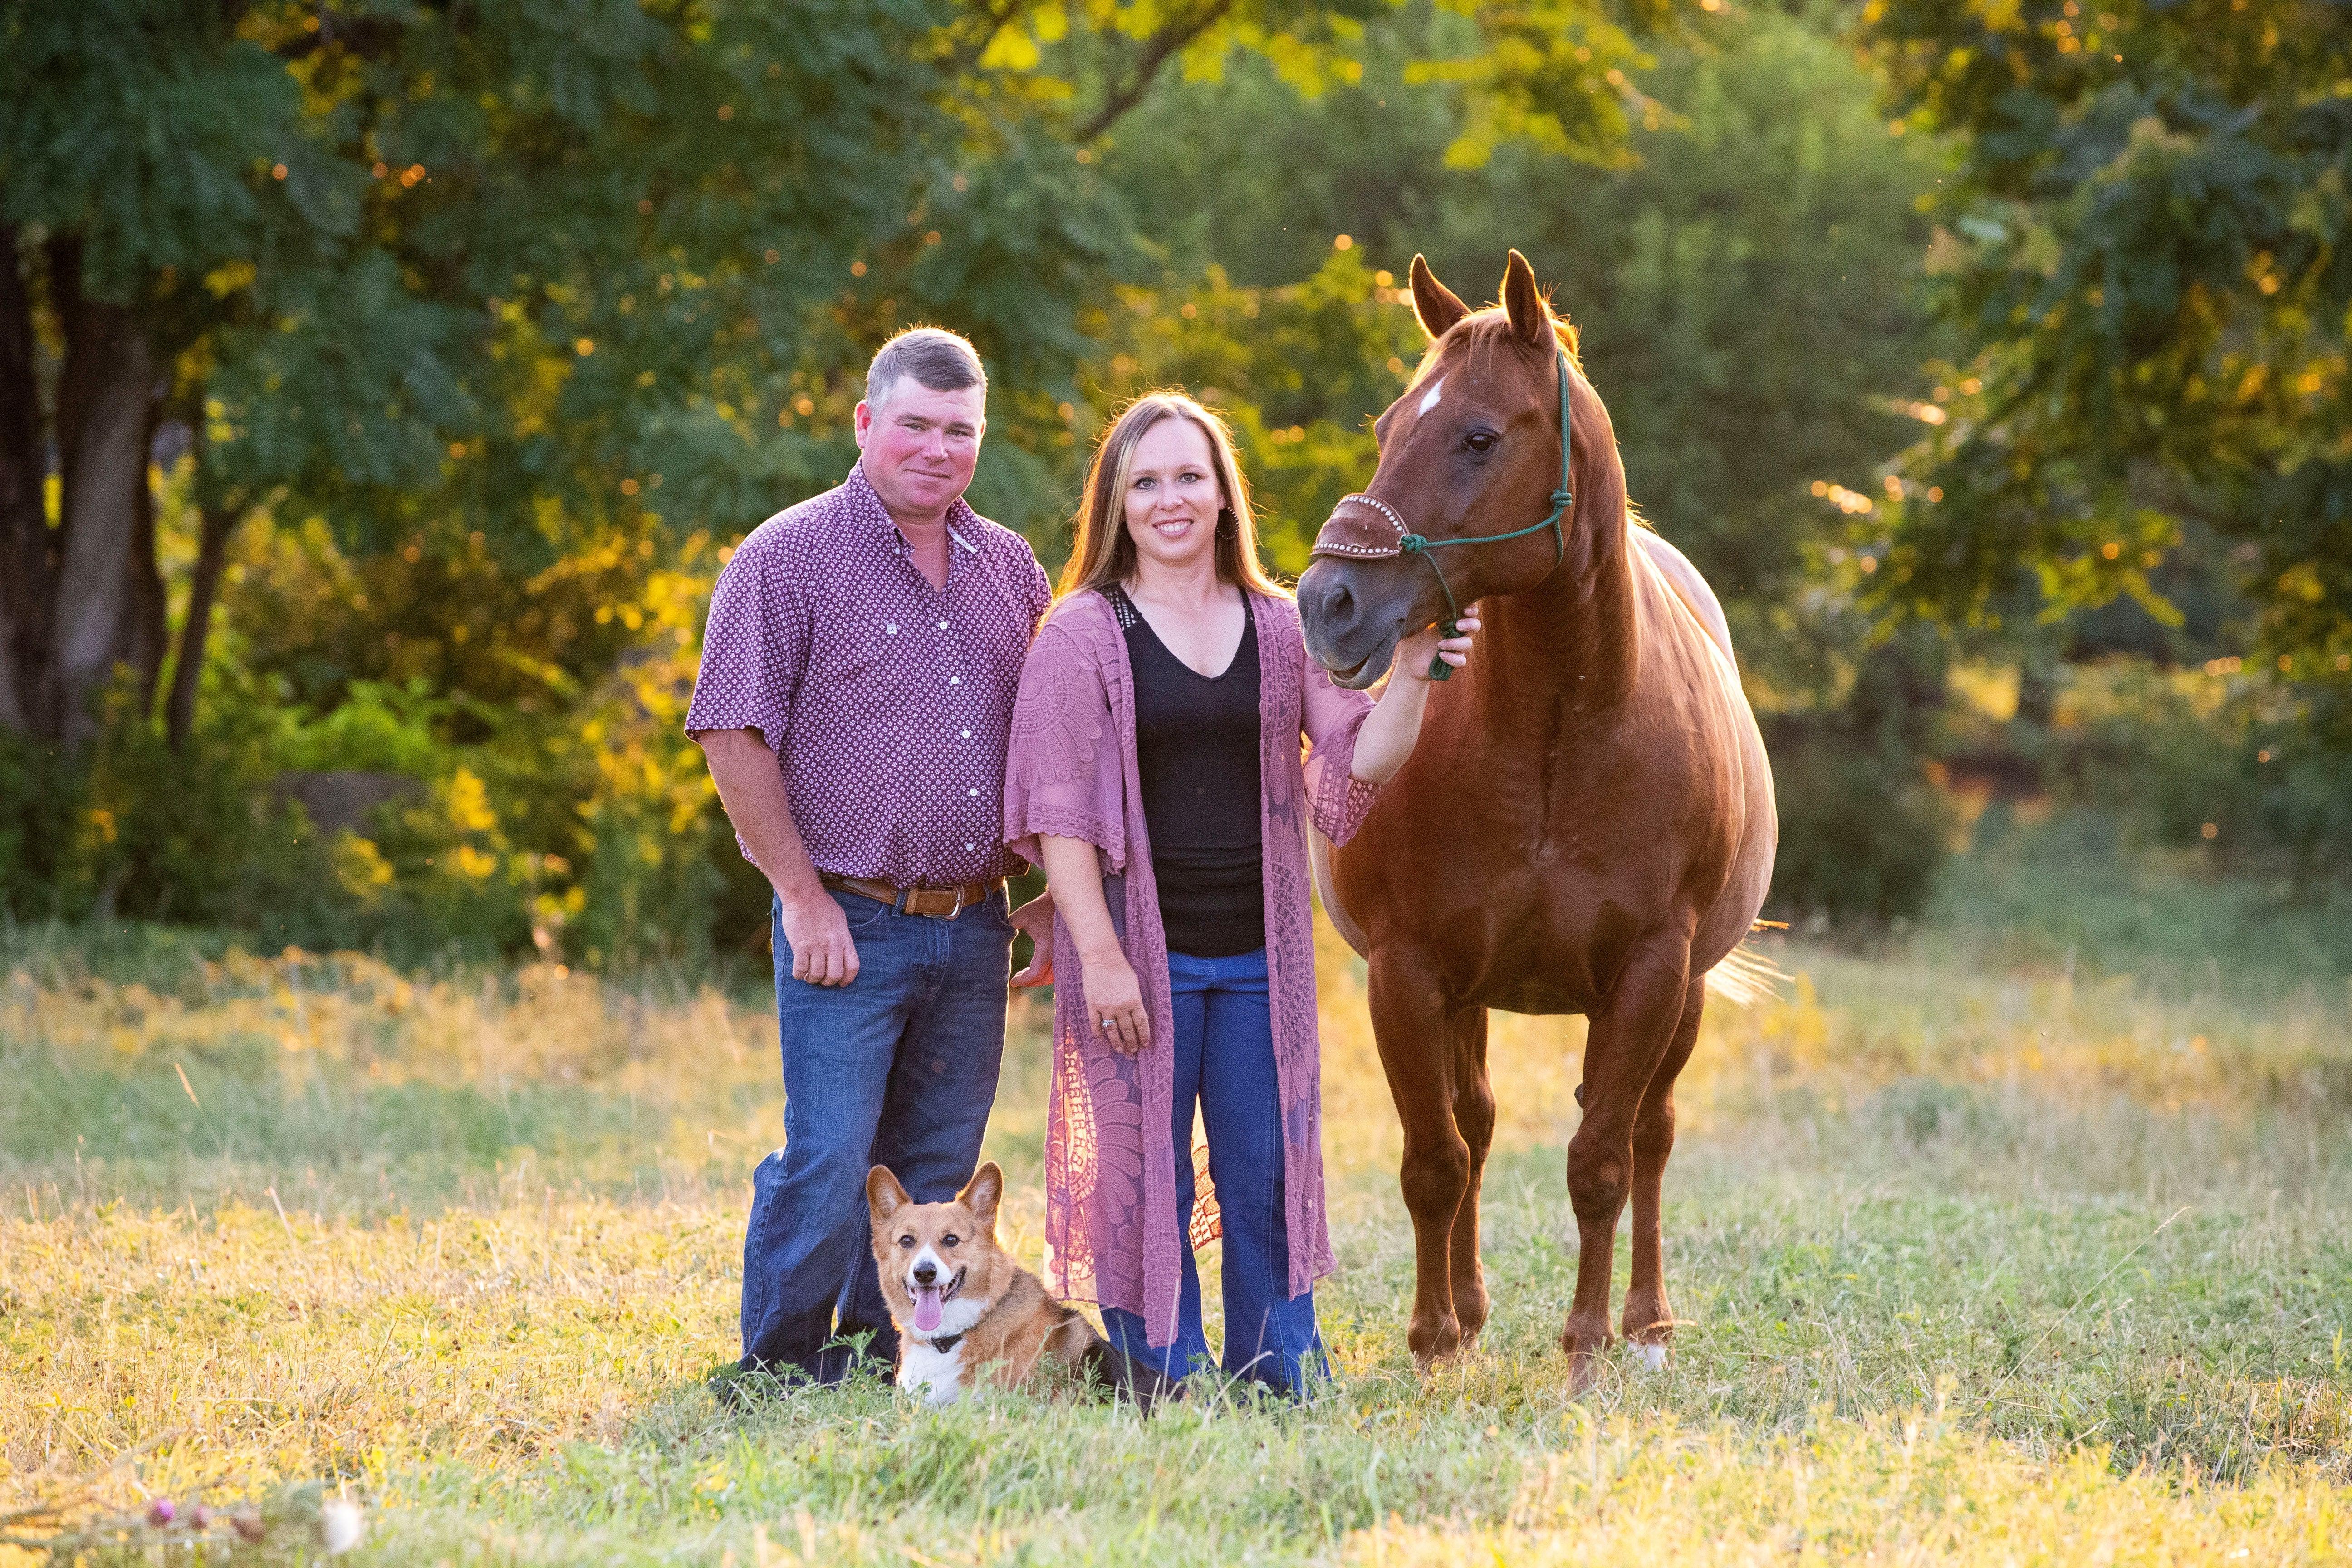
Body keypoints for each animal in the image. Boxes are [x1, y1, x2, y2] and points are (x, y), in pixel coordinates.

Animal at [1298, 251, 1769, 1392]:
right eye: (1389, 426)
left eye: (1477, 436)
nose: (1328, 600)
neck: (1556, 737)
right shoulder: (1408, 969)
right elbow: (1436, 1158)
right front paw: (1434, 1336)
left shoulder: (1649, 970)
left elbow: (1601, 1158)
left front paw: (1587, 1341)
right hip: (1467, 993)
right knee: (1474, 1123)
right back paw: (1469, 1309)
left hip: (1682, 997)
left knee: (1651, 1135)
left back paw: (1647, 1319)